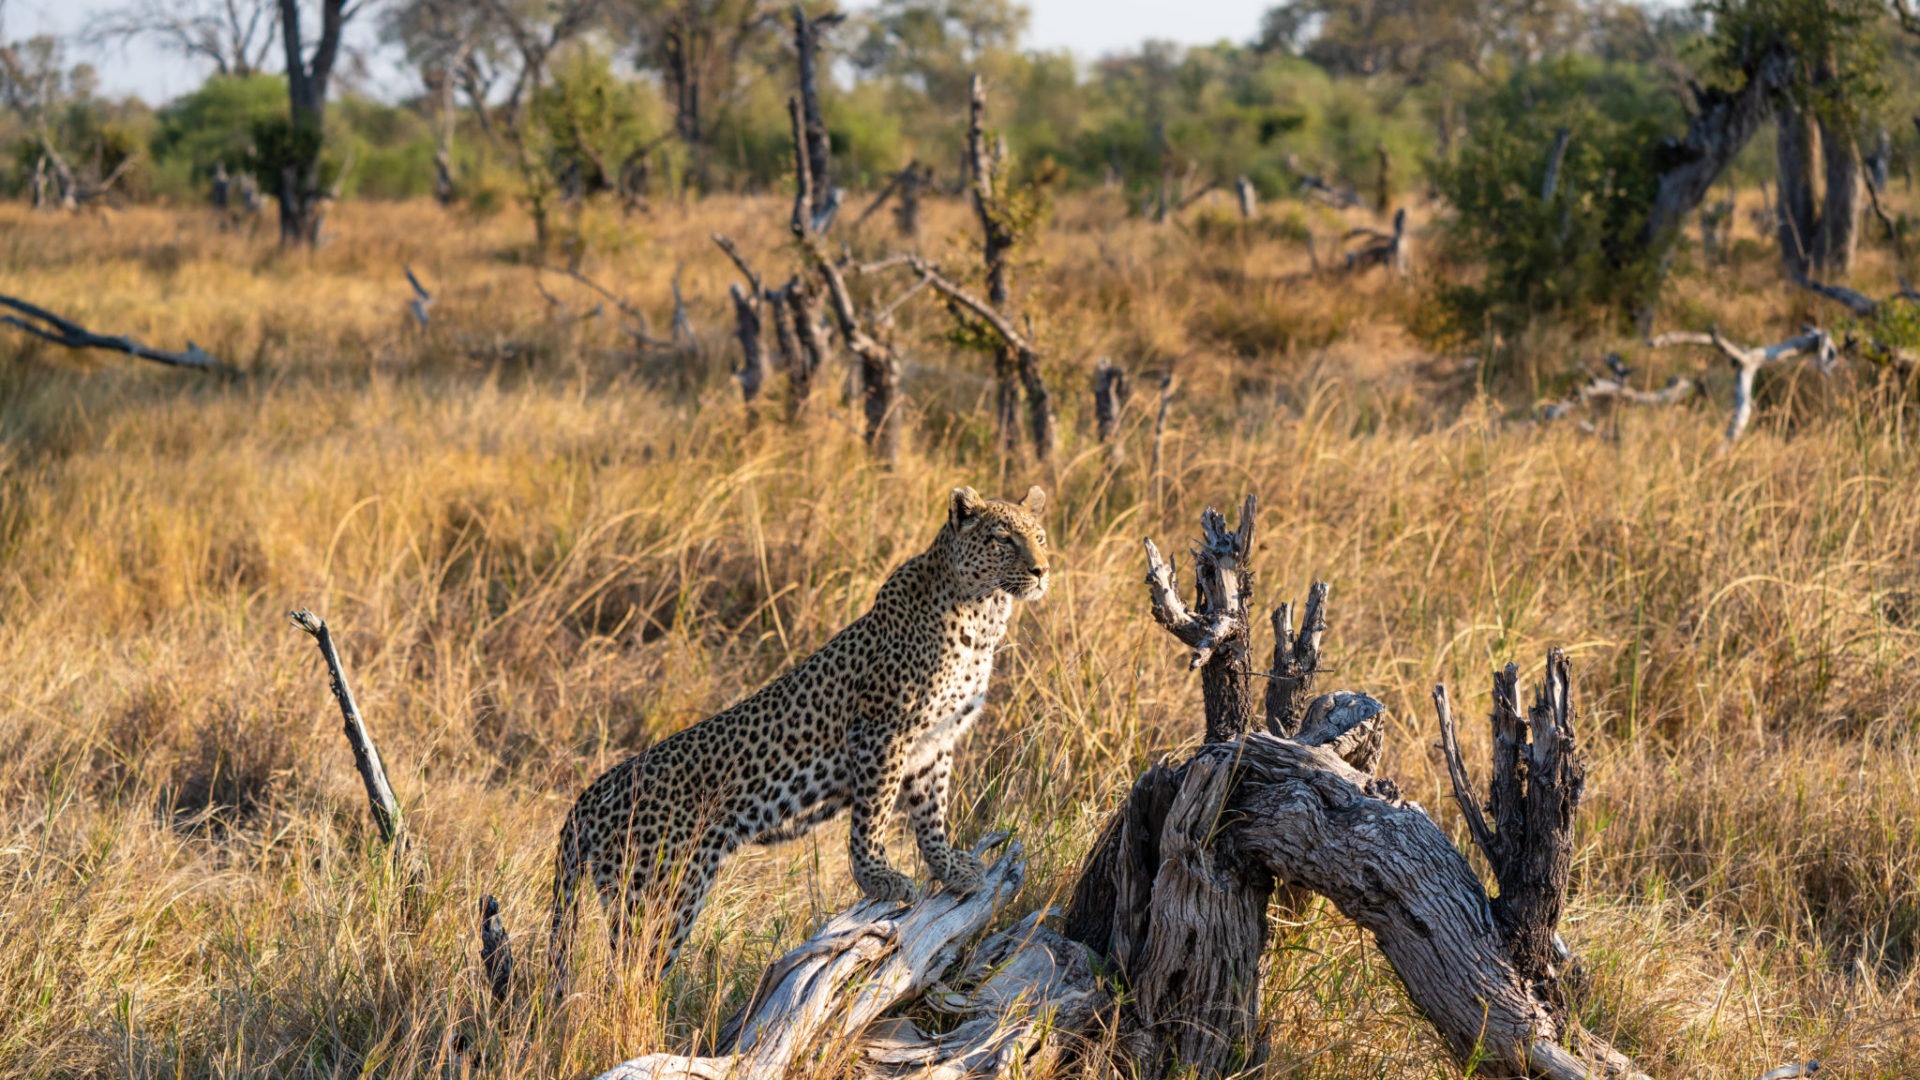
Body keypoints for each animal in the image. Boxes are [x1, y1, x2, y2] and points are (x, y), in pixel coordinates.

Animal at [547, 485, 1050, 981]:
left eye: (1040, 536)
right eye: (1003, 539)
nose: (1042, 570)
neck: (983, 615)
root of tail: (586, 799)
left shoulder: (934, 744)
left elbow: (932, 814)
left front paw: (949, 868)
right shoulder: (880, 732)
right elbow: (873, 814)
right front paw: (878, 878)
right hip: (657, 891)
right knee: (626, 976)